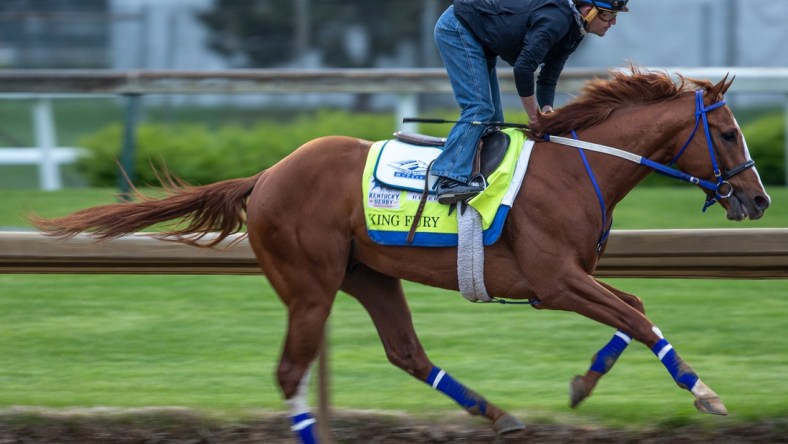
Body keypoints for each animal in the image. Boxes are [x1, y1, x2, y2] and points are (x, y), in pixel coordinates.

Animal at [32, 67, 768, 442]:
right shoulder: (555, 280)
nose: (758, 200)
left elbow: (635, 310)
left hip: (370, 275)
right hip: (310, 285)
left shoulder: (568, 279)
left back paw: (497, 414)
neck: (576, 168)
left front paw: (583, 384)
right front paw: (705, 392)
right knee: (291, 372)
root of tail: (265, 176)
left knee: (406, 353)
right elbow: (638, 318)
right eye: (730, 134)